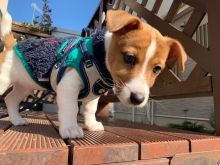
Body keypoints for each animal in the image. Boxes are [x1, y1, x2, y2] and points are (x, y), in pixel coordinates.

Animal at [0, 9, 187, 138]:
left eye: (157, 69)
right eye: (129, 58)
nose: (138, 99)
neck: (98, 59)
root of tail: (12, 46)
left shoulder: (93, 92)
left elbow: (90, 109)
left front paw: (91, 125)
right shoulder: (68, 87)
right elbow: (71, 108)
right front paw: (70, 128)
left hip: (24, 86)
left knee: (11, 99)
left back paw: (17, 120)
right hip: (4, 81)